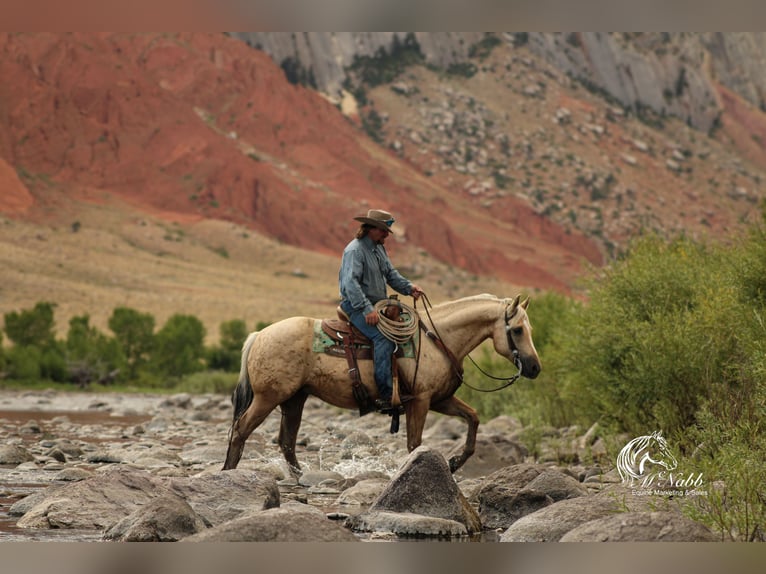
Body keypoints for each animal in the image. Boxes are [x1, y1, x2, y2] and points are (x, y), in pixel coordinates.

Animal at [222, 293, 541, 476]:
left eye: (530, 328)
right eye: (516, 330)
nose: (535, 368)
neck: (438, 339)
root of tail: (260, 335)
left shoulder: (439, 399)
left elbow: (473, 418)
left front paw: (454, 463)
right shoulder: (420, 401)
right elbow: (414, 443)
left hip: (294, 399)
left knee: (286, 442)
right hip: (268, 397)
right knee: (241, 430)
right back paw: (228, 472)